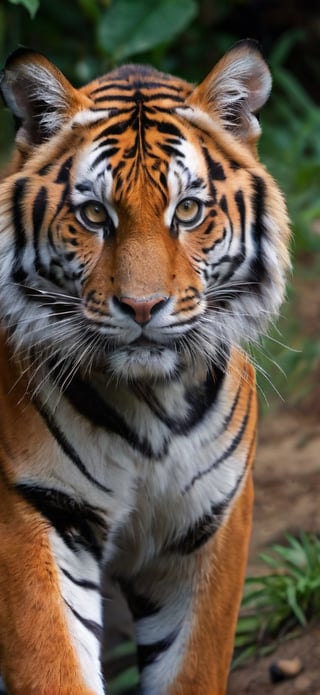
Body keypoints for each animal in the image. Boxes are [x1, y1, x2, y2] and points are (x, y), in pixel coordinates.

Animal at [0, 40, 290, 695]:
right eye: (93, 215)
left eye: (188, 210)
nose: (141, 306)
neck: (149, 400)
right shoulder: (35, 508)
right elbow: (53, 664)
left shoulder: (208, 525)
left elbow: (193, 666)